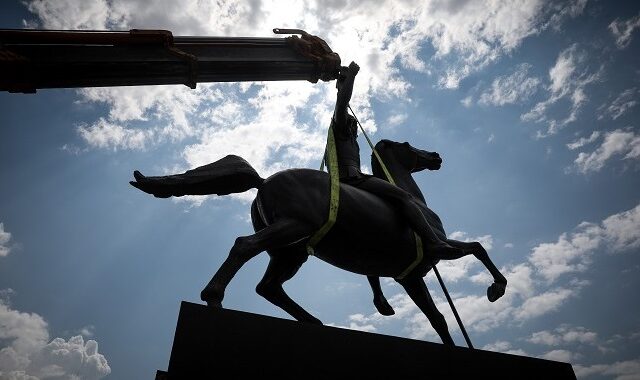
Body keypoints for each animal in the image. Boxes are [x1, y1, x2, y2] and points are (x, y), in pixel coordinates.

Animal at [132, 139, 508, 344]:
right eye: (406, 146)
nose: (435, 156)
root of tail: (263, 180)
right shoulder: (433, 255)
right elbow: (476, 248)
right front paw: (496, 288)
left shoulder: (410, 277)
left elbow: (437, 319)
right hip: (291, 228)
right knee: (243, 246)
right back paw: (213, 297)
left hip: (291, 252)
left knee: (268, 286)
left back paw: (313, 321)